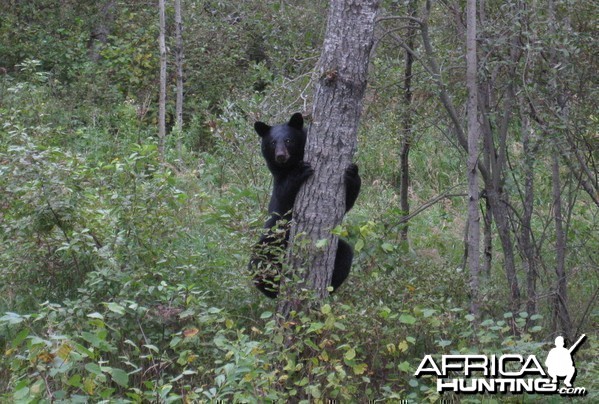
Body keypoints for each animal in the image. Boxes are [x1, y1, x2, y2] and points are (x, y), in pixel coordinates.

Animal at [248, 113, 360, 296]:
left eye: (288, 140)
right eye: (272, 143)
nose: (281, 156)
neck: (290, 164)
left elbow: (346, 203)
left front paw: (352, 173)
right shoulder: (279, 186)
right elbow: (284, 197)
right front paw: (300, 172)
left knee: (345, 253)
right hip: (272, 239)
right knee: (259, 261)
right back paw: (274, 286)